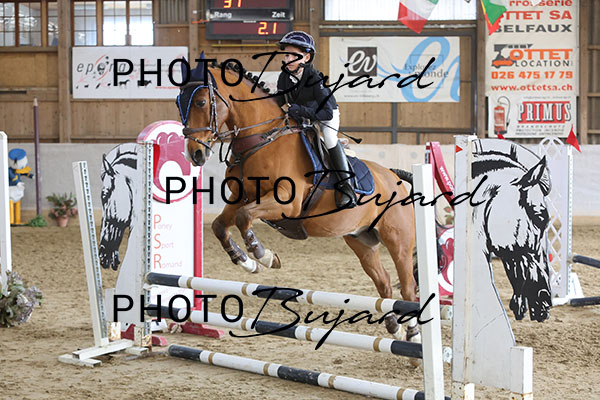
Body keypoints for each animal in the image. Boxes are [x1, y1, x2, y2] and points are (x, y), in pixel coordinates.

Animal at [178, 59, 419, 342]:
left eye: (201, 102)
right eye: (179, 103)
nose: (195, 154)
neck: (262, 139)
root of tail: (395, 178)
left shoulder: (285, 202)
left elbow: (244, 217)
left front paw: (264, 256)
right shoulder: (240, 199)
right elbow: (221, 225)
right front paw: (247, 262)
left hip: (398, 242)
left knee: (408, 288)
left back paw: (413, 334)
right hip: (362, 241)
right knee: (384, 283)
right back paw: (394, 327)